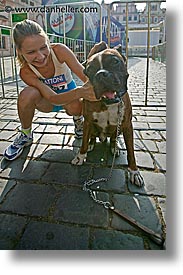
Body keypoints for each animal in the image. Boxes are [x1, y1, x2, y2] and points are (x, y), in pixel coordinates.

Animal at [71, 41, 144, 188]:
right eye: (89, 70)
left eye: (115, 61)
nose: (100, 74)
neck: (107, 103)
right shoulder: (87, 121)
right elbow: (83, 142)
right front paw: (80, 156)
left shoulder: (127, 125)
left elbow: (131, 151)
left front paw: (134, 172)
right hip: (92, 128)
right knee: (92, 137)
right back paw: (91, 144)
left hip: (119, 129)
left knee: (114, 139)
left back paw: (114, 147)